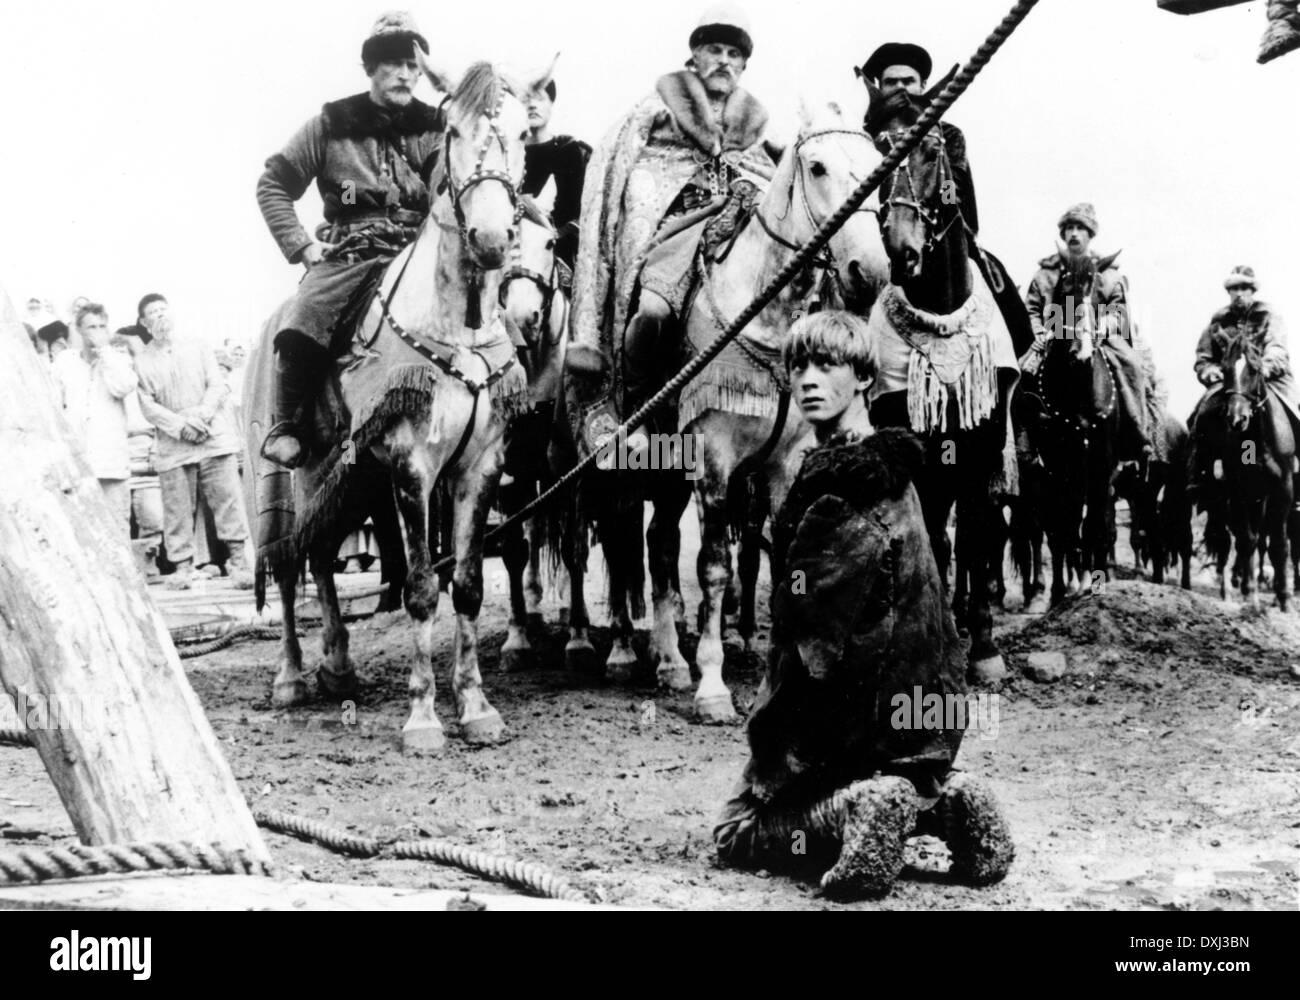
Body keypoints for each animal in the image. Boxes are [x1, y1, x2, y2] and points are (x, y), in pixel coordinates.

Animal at [598, 97, 894, 723]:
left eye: (877, 167)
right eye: (817, 167)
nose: (870, 273)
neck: (763, 313)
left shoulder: (784, 464)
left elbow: (786, 555)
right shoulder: (714, 460)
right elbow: (713, 568)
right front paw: (712, 687)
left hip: (674, 474)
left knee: (660, 543)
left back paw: (668, 661)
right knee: (628, 539)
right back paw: (632, 653)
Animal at [863, 89, 1024, 681]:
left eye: (933, 150)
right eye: (880, 153)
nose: (902, 250)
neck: (939, 313)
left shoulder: (980, 447)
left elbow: (977, 535)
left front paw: (985, 648)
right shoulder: (920, 446)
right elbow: (934, 536)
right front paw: (945, 635)